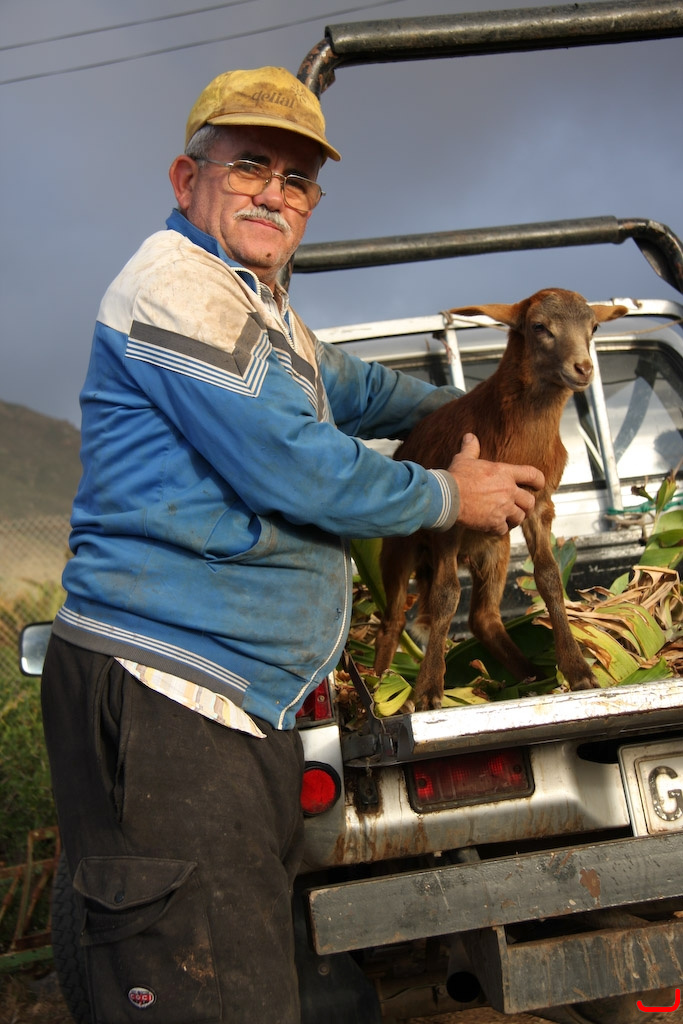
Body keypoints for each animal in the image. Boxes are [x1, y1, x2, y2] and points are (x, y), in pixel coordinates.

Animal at [373, 287, 629, 711]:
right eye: (539, 327)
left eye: (594, 327)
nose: (583, 368)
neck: (518, 440)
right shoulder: (449, 524)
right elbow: (446, 596)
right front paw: (427, 691)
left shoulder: (538, 506)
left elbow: (548, 578)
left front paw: (577, 671)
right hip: (398, 548)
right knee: (392, 620)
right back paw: (379, 683)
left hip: (496, 546)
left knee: (484, 616)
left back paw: (530, 675)